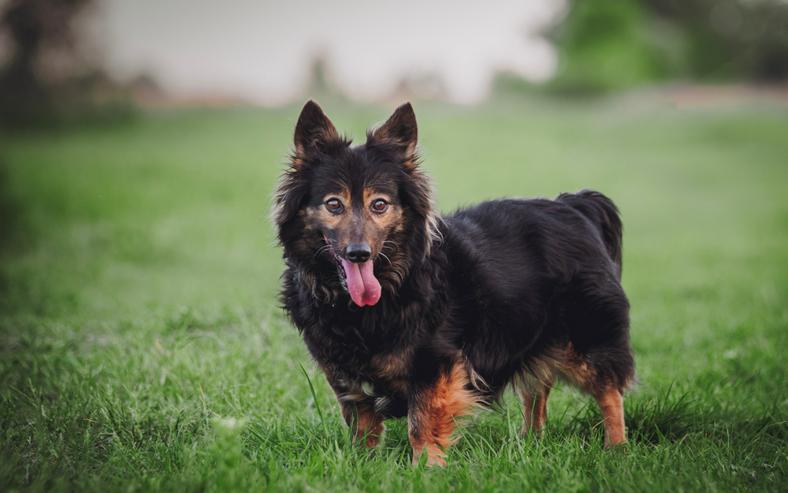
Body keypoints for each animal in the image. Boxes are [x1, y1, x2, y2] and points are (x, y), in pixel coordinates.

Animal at [274, 101, 636, 466]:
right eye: (334, 204)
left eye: (379, 204)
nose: (359, 254)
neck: (389, 285)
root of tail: (574, 205)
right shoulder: (345, 375)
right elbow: (362, 426)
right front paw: (364, 464)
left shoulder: (435, 364)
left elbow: (421, 422)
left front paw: (426, 467)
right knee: (536, 391)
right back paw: (530, 443)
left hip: (587, 336)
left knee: (608, 392)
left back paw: (616, 448)